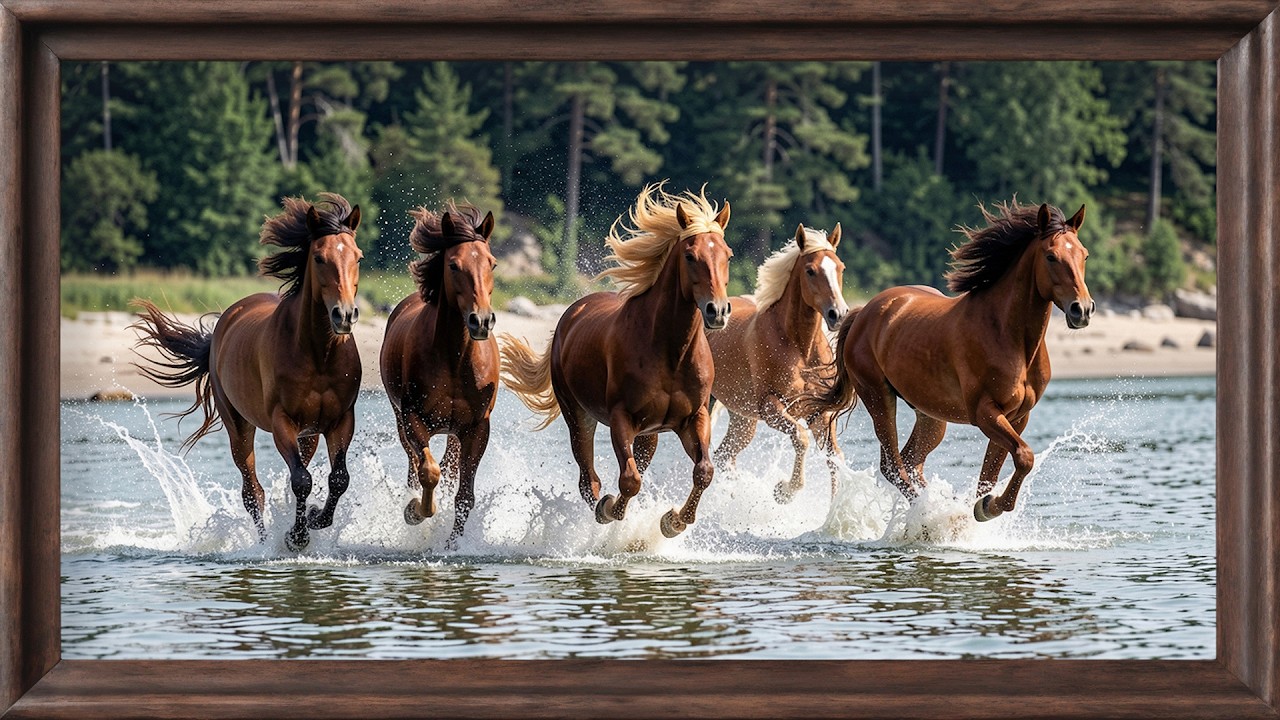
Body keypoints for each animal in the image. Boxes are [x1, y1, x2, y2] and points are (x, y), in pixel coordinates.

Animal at [132, 193, 364, 551]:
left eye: (358, 257)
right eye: (319, 258)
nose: (345, 315)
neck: (319, 355)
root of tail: (225, 322)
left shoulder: (340, 420)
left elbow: (337, 478)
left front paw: (314, 519)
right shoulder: (282, 421)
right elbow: (301, 480)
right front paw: (296, 537)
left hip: (308, 434)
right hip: (239, 427)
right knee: (253, 491)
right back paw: (266, 539)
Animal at [380, 202, 499, 548]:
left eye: (492, 263)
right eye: (454, 265)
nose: (481, 321)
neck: (455, 358)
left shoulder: (476, 428)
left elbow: (464, 495)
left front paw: (452, 545)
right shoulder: (413, 418)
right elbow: (427, 472)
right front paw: (415, 512)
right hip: (401, 419)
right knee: (415, 465)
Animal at [500, 183, 732, 539]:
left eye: (727, 255)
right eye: (690, 256)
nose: (716, 311)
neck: (670, 353)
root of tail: (571, 313)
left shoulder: (695, 417)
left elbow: (704, 470)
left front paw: (673, 522)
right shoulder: (622, 418)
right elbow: (629, 480)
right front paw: (609, 510)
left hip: (650, 433)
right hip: (578, 416)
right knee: (589, 480)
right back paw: (598, 511)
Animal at [706, 222, 849, 504]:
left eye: (840, 267)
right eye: (810, 270)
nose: (837, 314)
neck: (799, 347)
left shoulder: (818, 412)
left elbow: (834, 456)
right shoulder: (771, 407)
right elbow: (801, 439)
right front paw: (784, 491)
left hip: (743, 420)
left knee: (724, 455)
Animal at [800, 200, 1093, 522]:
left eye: (1084, 254)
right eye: (1051, 256)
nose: (1082, 310)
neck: (1008, 336)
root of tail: (863, 312)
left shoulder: (1018, 416)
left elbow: (992, 474)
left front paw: (984, 505)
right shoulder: (986, 413)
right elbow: (1024, 457)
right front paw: (985, 508)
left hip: (930, 414)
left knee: (911, 461)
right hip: (879, 398)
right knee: (893, 466)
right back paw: (931, 512)